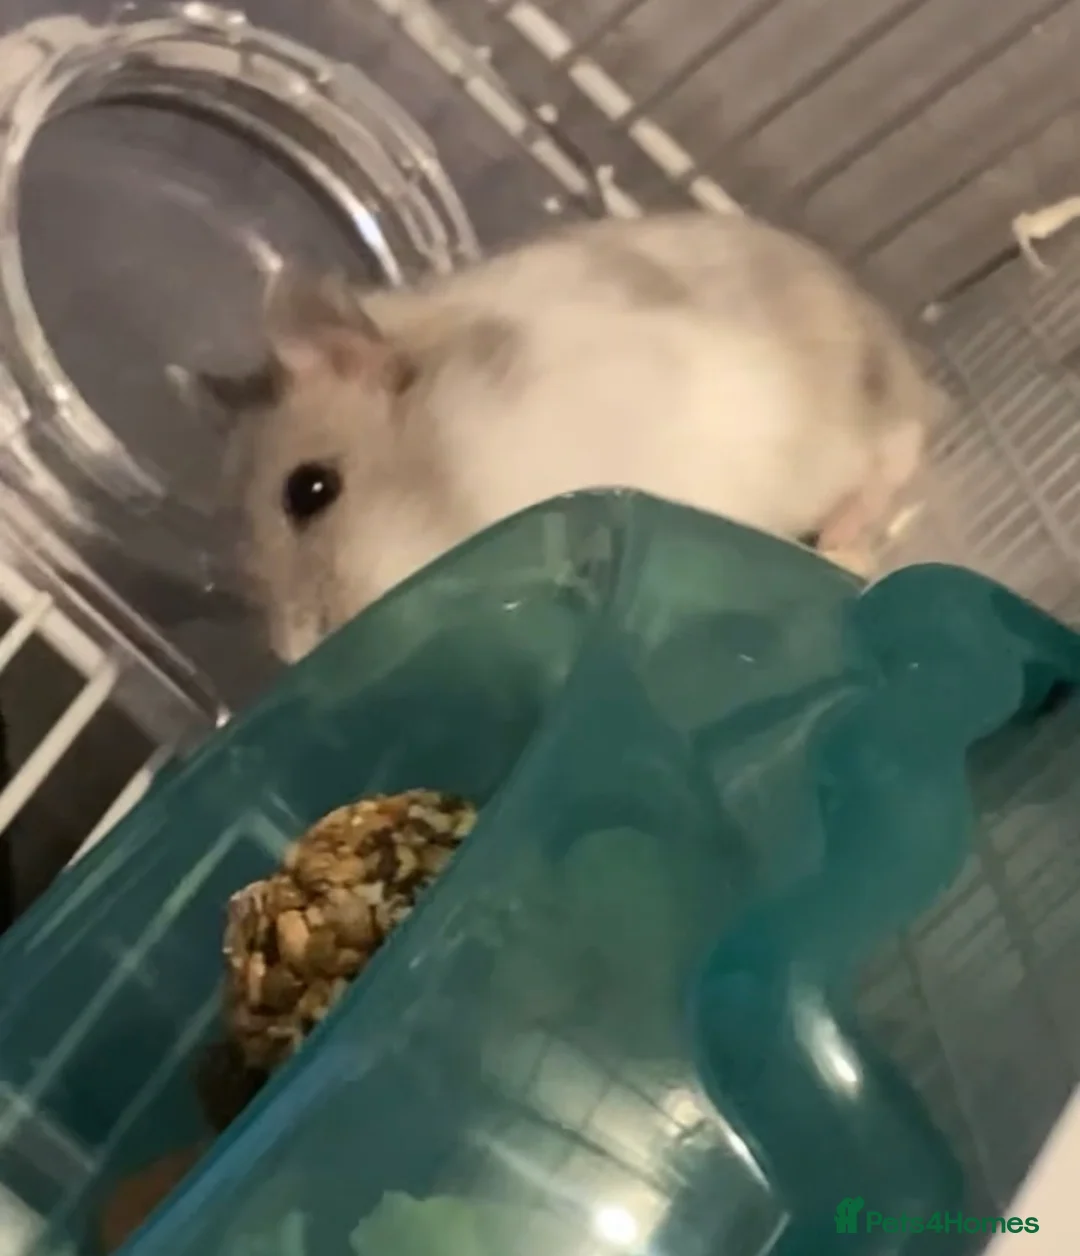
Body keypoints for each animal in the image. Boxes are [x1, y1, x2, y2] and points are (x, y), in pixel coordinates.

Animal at [198, 211, 943, 662]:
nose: (299, 653)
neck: (455, 475)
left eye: (310, 489)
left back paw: (847, 544)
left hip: (843, 422)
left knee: (895, 452)